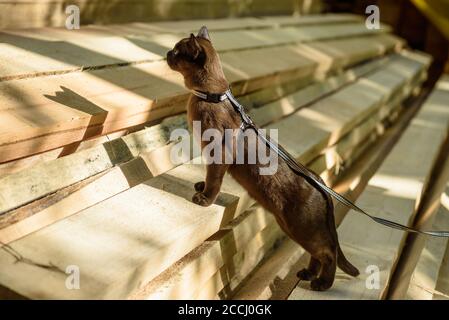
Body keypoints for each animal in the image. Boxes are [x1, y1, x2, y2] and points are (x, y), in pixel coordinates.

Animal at [166, 26, 358, 290]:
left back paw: (321, 284)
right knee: (319, 253)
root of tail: (321, 182)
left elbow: (214, 180)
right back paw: (308, 274)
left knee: (329, 252)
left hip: (299, 227)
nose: (166, 53)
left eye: (177, 51)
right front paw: (200, 187)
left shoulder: (218, 155)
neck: (209, 97)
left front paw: (204, 198)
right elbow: (209, 177)